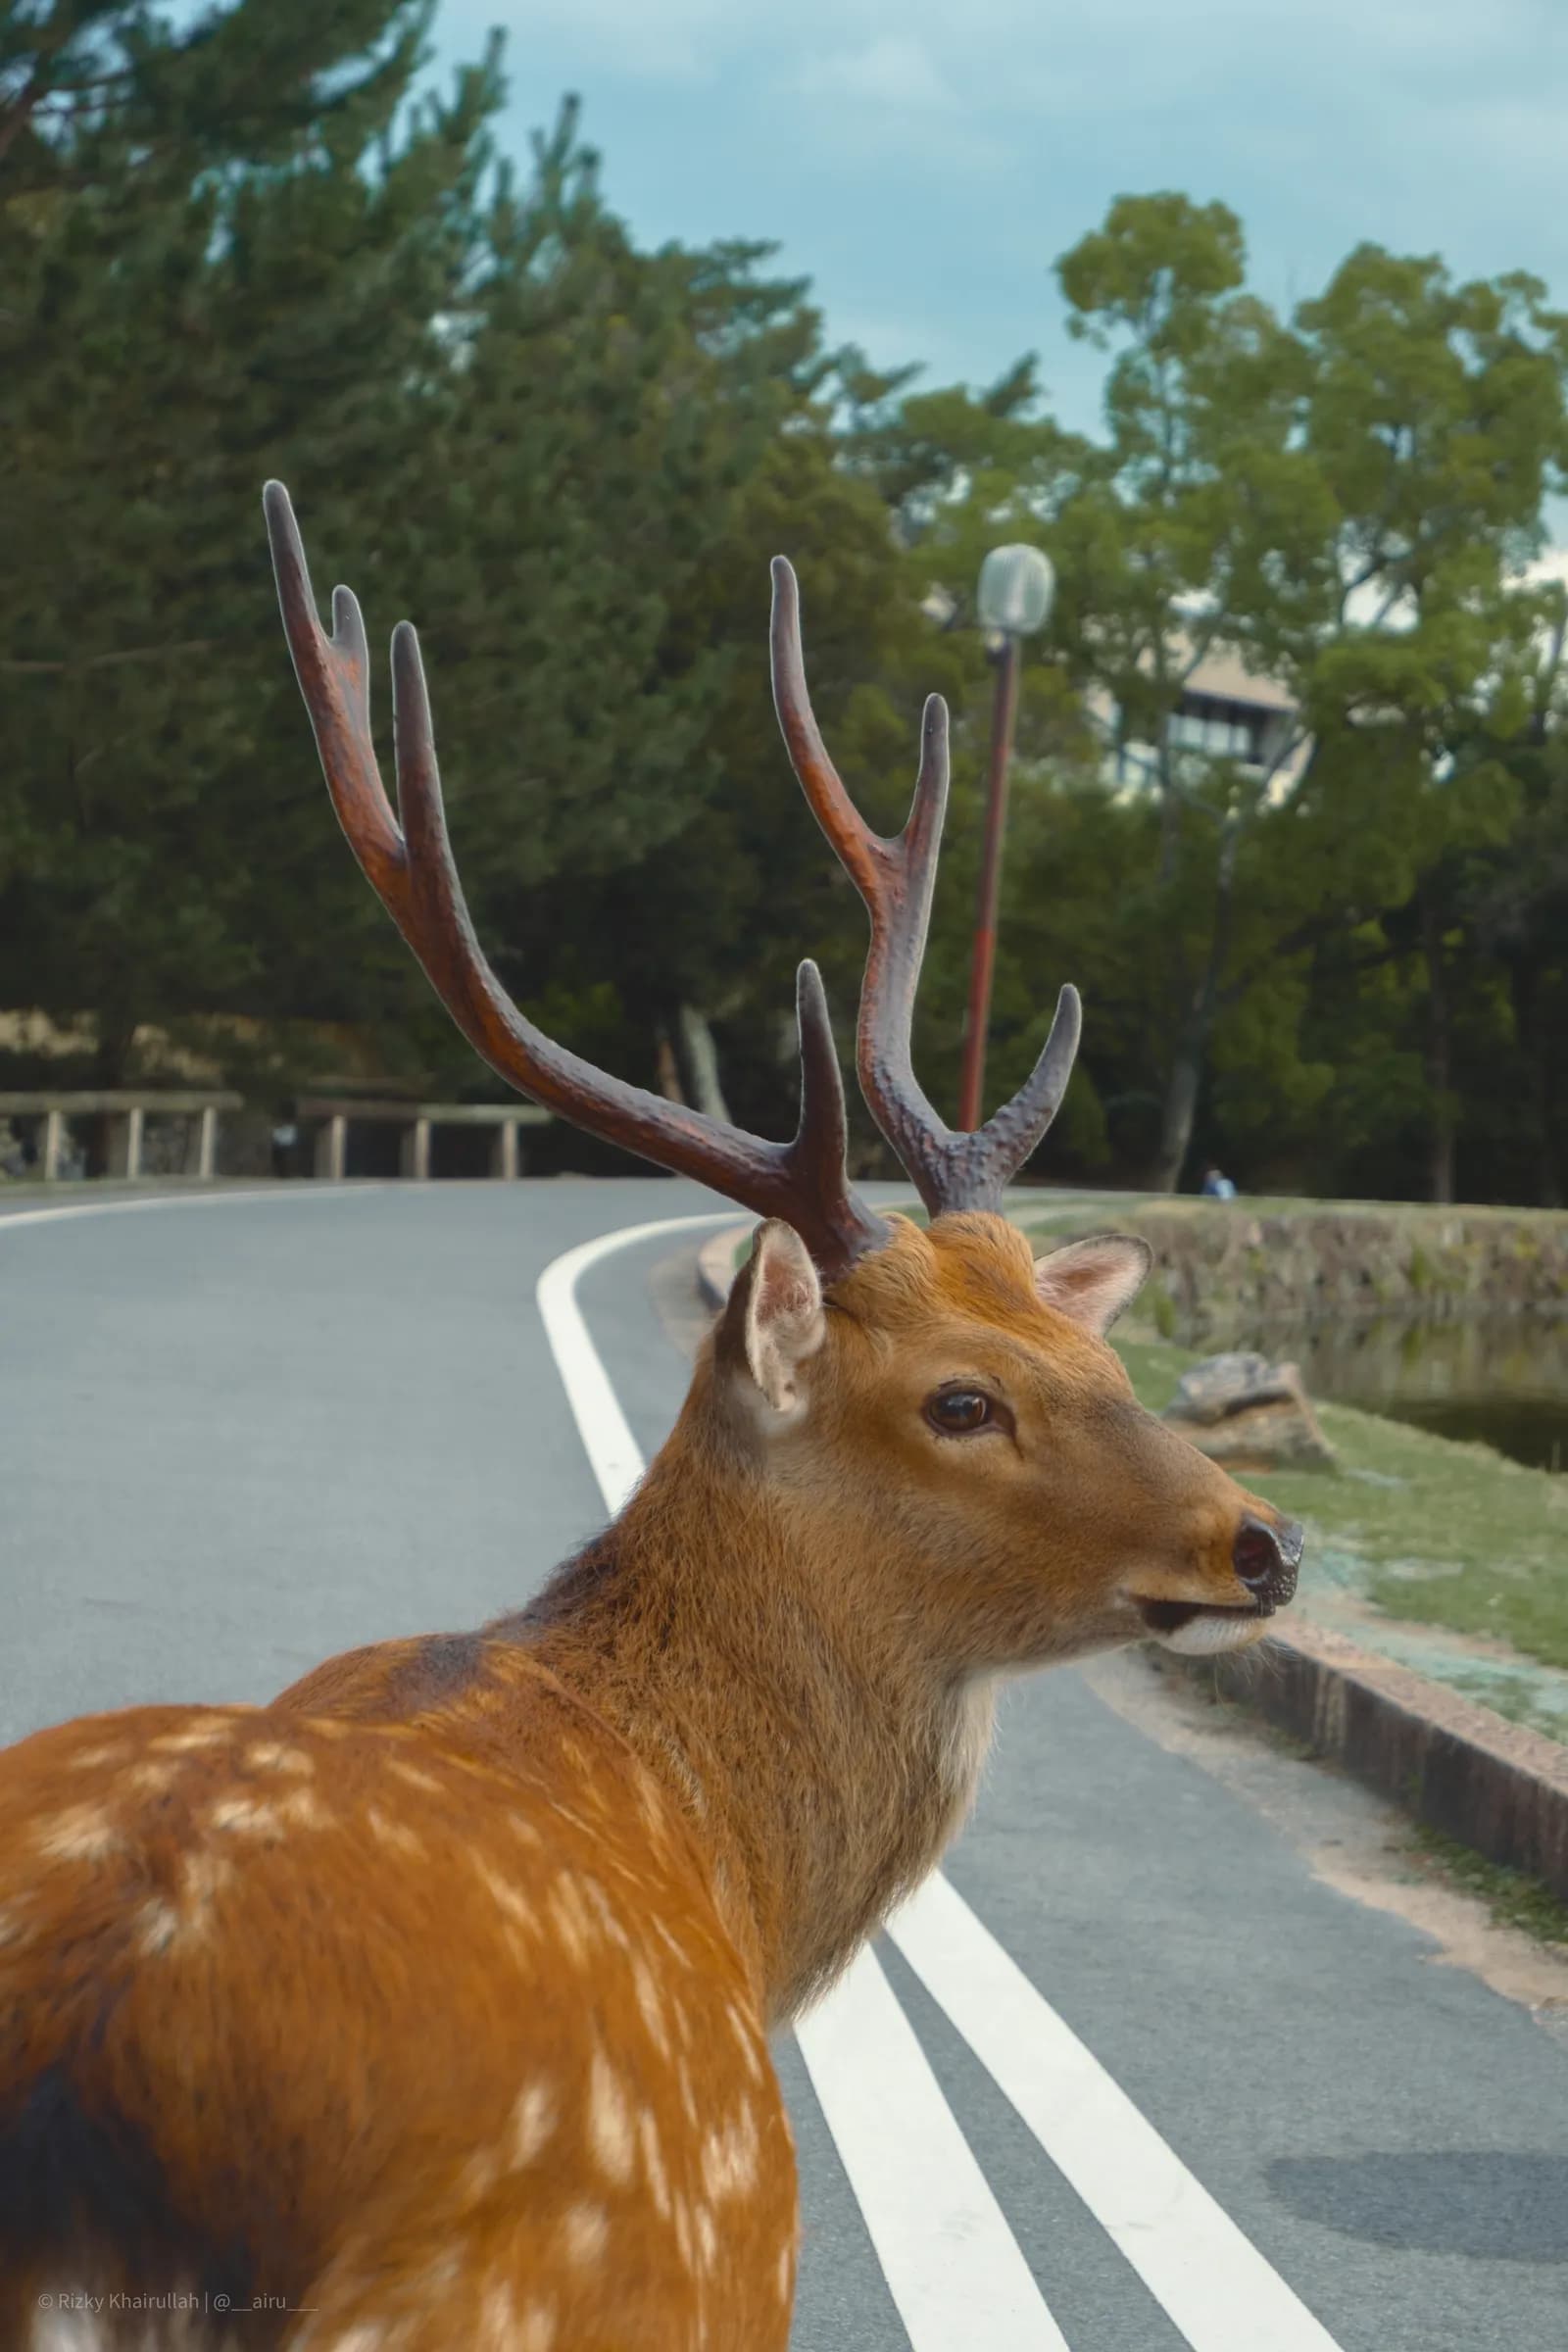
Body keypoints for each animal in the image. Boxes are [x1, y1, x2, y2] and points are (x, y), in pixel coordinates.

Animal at [0, 483, 1303, 2352]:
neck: (738, 1875)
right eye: (961, 1400)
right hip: (595, 2262)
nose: (1262, 1544)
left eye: (1110, 1366)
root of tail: (99, 2040)